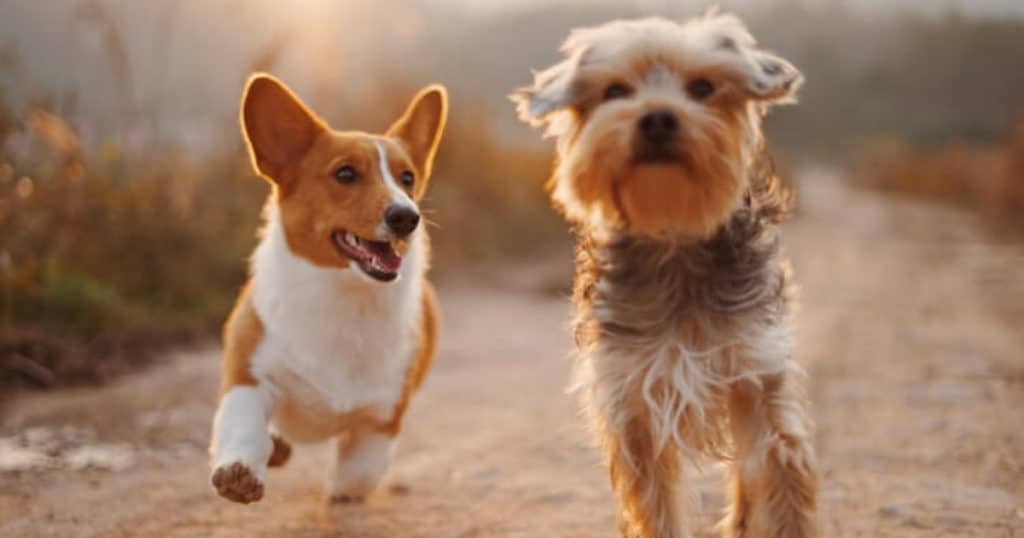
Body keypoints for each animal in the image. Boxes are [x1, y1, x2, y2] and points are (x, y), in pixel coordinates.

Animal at [207, 72, 444, 504]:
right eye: (345, 174)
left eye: (408, 179)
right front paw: (239, 471)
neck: (343, 296)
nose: (407, 216)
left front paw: (340, 490)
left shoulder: (382, 418)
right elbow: (242, 424)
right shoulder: (249, 375)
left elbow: (358, 473)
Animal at [516, 9, 819, 536]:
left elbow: (779, 481)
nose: (657, 116)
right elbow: (656, 503)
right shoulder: (633, 399)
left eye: (702, 87)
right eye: (616, 90)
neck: (673, 234)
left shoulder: (757, 374)